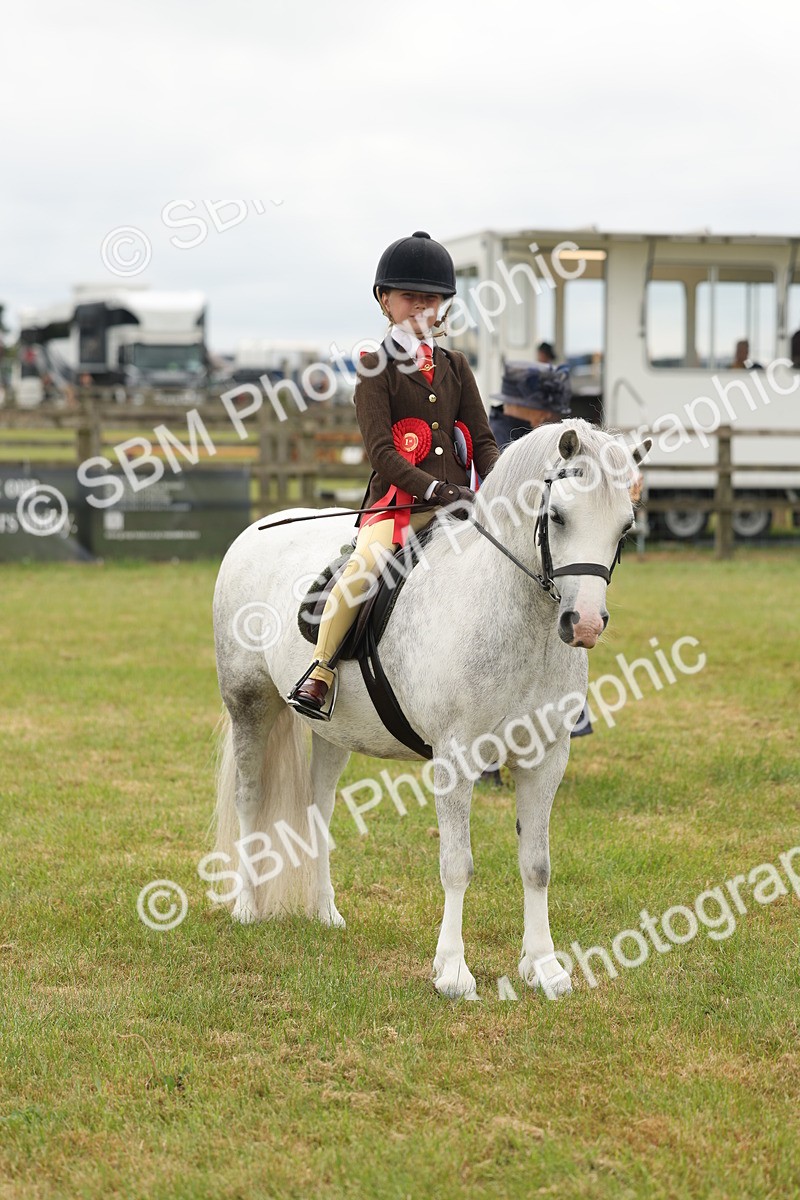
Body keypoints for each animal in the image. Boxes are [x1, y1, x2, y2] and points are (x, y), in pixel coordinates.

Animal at [211, 419, 651, 1000]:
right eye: (558, 516)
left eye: (625, 526)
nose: (585, 625)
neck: (516, 618)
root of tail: (256, 529)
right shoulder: (456, 759)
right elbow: (457, 865)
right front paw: (453, 972)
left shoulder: (547, 758)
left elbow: (537, 864)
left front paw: (545, 967)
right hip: (249, 704)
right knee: (250, 798)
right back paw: (245, 906)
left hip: (332, 732)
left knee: (318, 809)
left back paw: (325, 912)